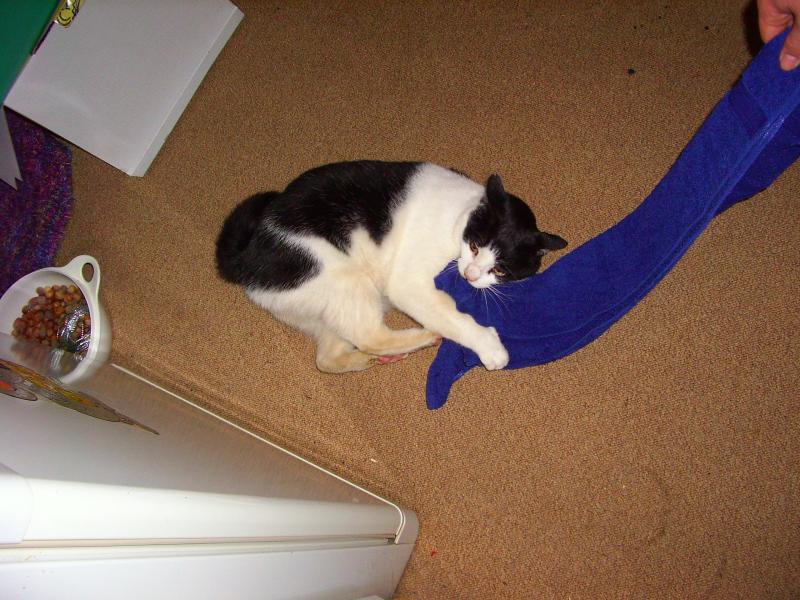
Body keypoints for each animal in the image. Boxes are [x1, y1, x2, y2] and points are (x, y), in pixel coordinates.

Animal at [216, 161, 567, 373]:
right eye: (475, 246)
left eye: (501, 271)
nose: (469, 276)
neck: (460, 214)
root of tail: (247, 259)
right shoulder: (409, 284)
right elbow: (452, 314)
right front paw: (490, 346)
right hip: (347, 279)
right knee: (371, 335)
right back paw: (426, 335)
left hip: (327, 308)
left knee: (328, 358)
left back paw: (371, 359)